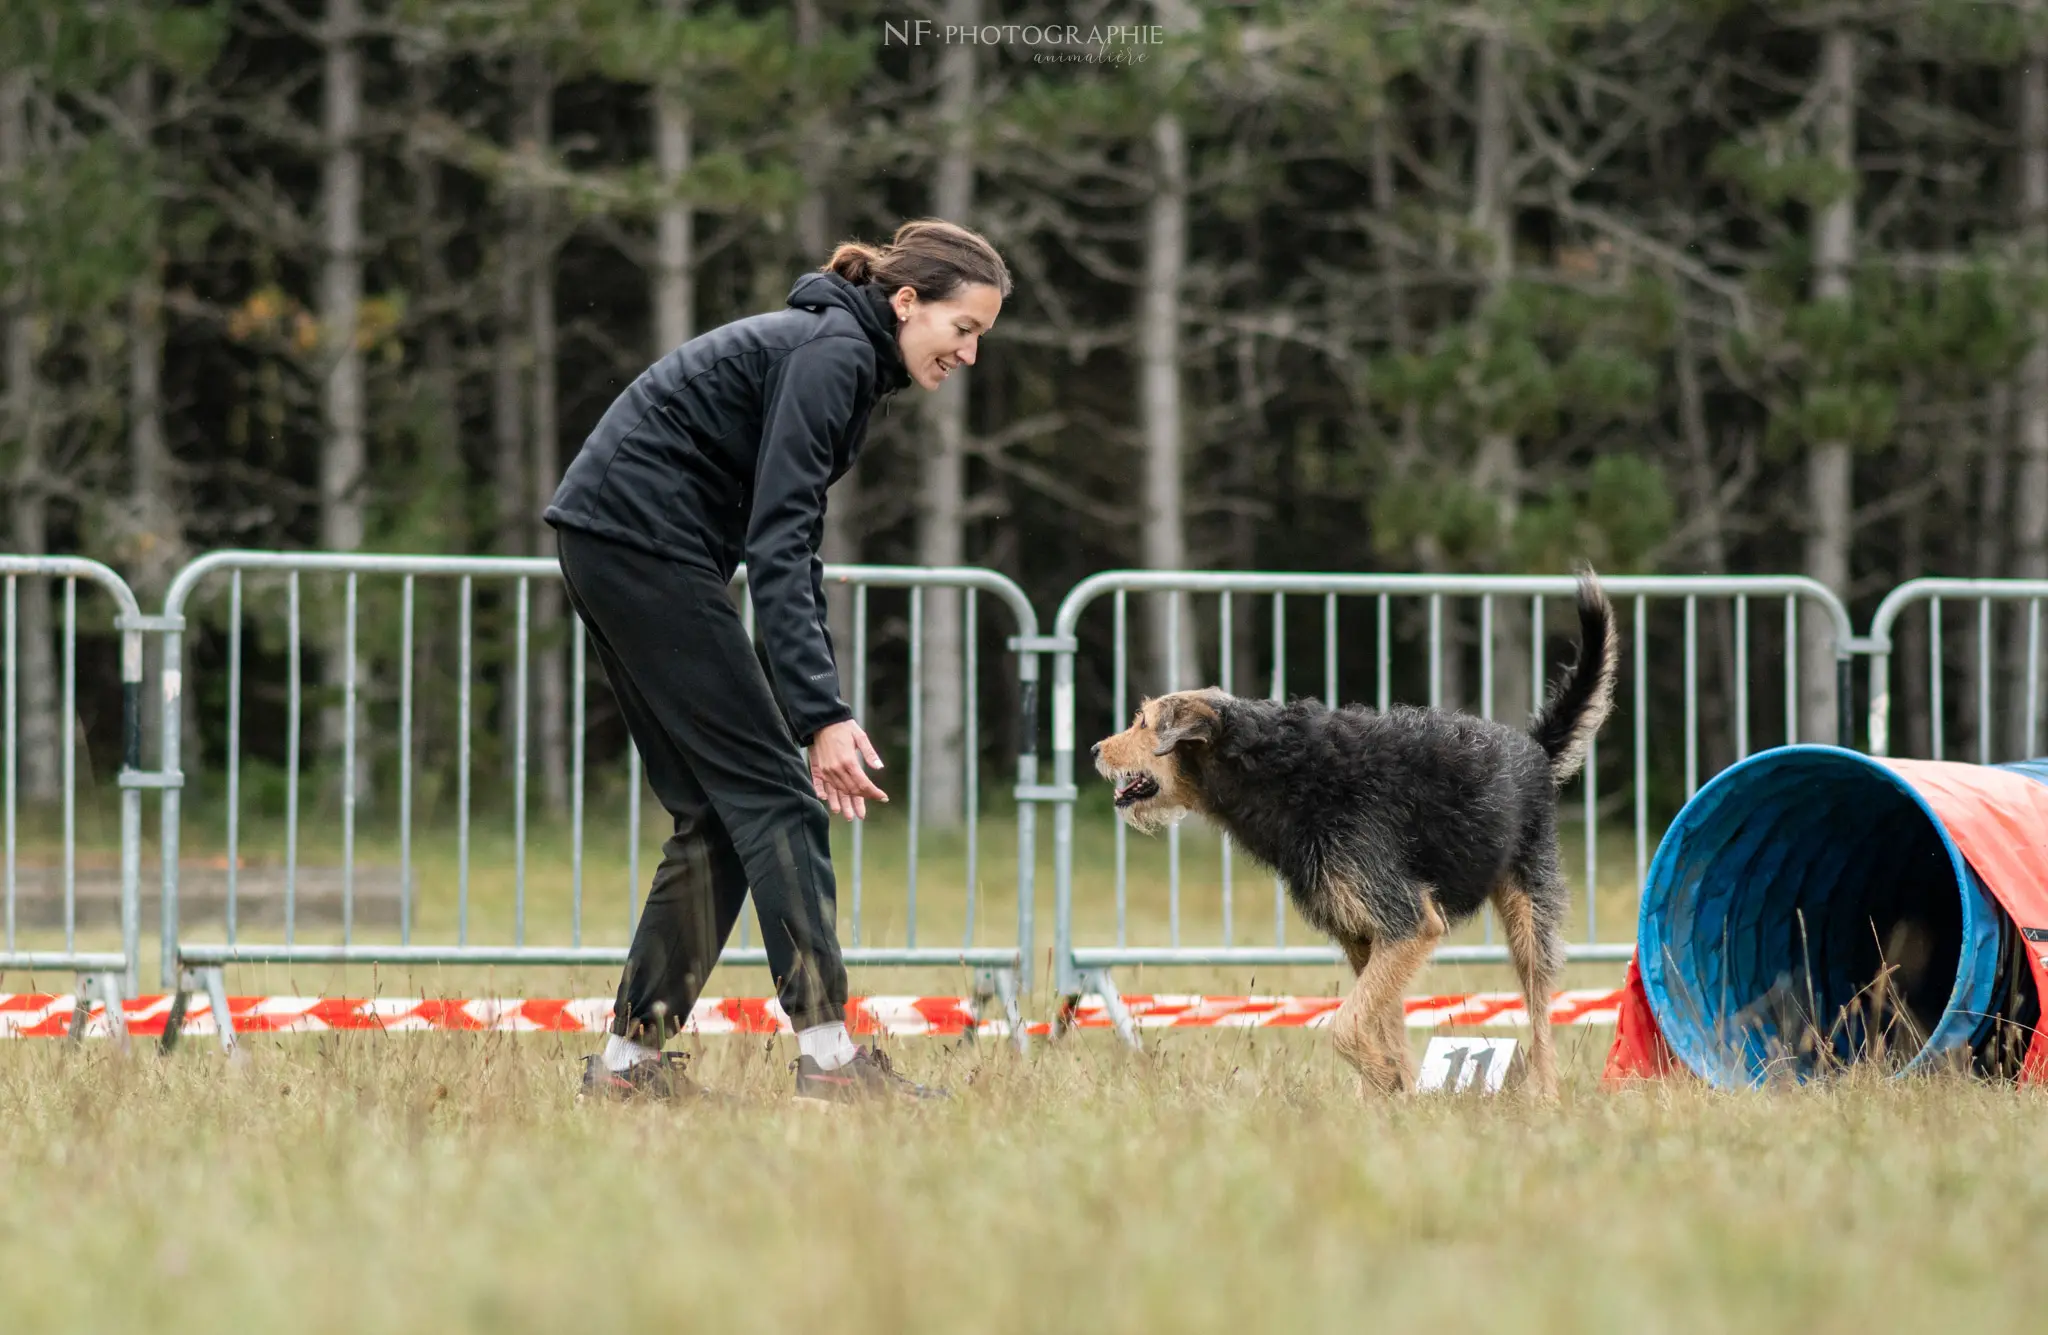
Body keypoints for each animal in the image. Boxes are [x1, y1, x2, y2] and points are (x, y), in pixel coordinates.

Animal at [1089, 569, 1613, 1097]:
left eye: (1143, 723)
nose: (1094, 749)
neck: (1282, 770)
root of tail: (1532, 747)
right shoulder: (1365, 937)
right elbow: (1380, 1023)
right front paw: (1399, 1092)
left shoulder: (1408, 923)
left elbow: (1344, 1025)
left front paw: (1386, 1079)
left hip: (1529, 913)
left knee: (1540, 1012)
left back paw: (1545, 1095)